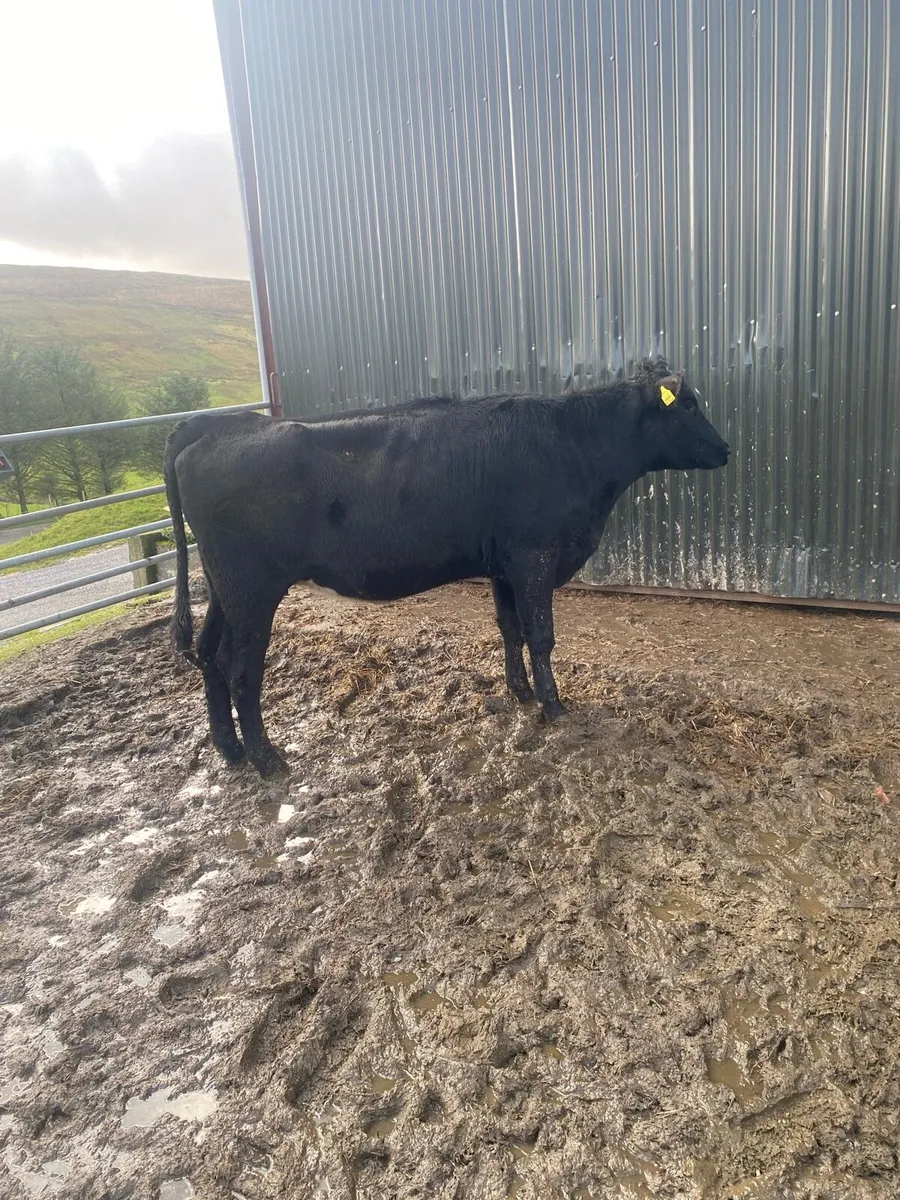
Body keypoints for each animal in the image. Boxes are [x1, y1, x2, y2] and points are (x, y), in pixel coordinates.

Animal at [164, 359, 729, 776]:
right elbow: (541, 635)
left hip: (223, 587)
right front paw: (554, 706)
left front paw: (520, 692)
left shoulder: (503, 563)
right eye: (691, 405)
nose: (726, 448)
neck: (574, 445)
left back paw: (229, 749)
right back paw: (266, 759)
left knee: (209, 657)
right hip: (252, 590)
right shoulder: (535, 556)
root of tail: (214, 423)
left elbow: (510, 629)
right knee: (241, 671)